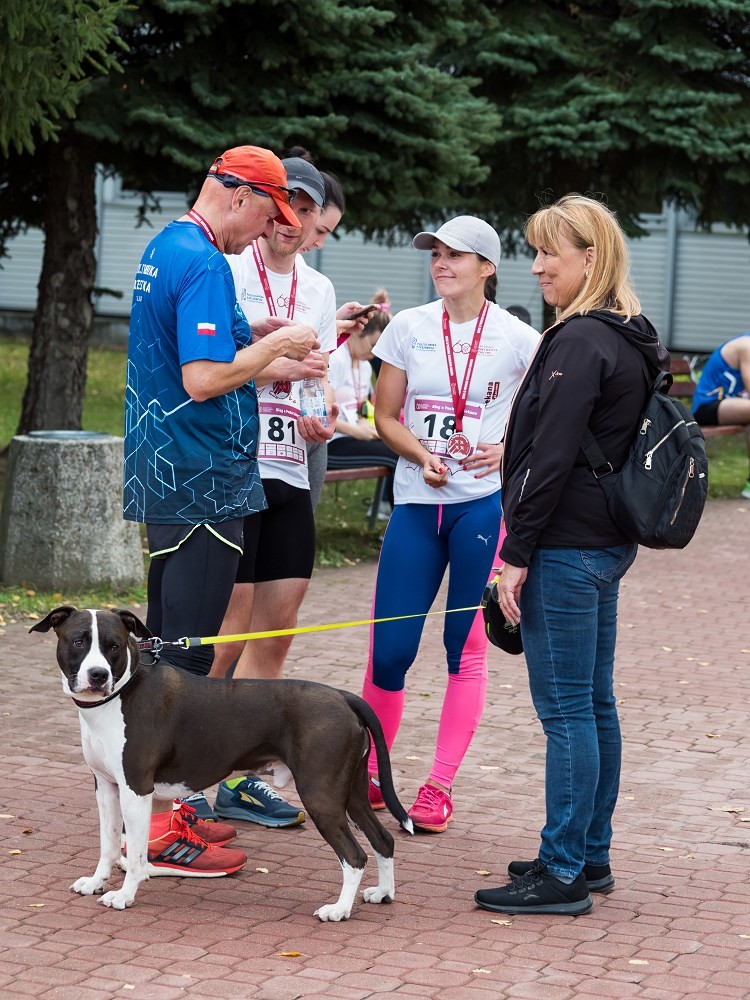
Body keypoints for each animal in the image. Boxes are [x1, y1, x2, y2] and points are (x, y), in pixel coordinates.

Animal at [31, 606, 413, 920]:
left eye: (113, 646)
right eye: (79, 641)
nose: (97, 675)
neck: (121, 693)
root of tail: (344, 697)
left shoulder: (136, 790)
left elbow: (137, 853)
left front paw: (124, 896)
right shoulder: (107, 788)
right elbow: (109, 844)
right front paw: (97, 882)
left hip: (322, 795)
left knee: (354, 855)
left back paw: (339, 910)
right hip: (352, 793)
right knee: (383, 840)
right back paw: (383, 893)